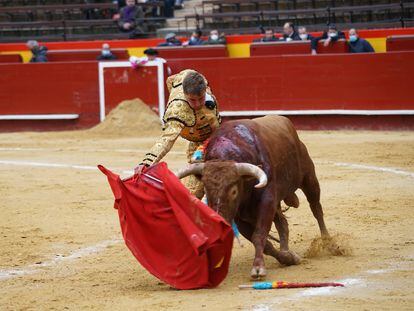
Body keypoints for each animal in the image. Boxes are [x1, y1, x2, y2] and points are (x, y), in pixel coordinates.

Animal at [178, 116, 334, 280]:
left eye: (234, 191)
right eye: (207, 190)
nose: (220, 221)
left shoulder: (267, 201)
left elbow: (259, 235)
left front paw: (258, 268)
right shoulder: (240, 217)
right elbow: (265, 244)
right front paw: (288, 258)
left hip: (309, 178)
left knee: (316, 208)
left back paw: (328, 243)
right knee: (283, 223)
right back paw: (286, 249)